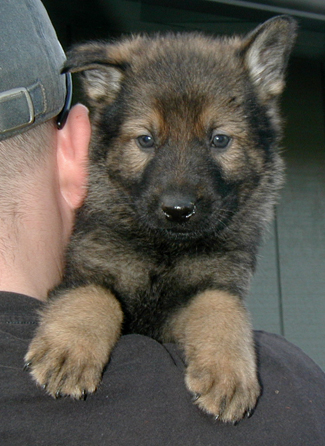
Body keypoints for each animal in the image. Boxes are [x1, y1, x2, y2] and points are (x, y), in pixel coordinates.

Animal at [26, 16, 296, 422]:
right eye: (146, 139)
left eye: (219, 139)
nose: (178, 210)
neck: (165, 250)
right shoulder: (84, 268)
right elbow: (93, 296)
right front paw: (70, 349)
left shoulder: (213, 283)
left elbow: (222, 308)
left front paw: (228, 371)